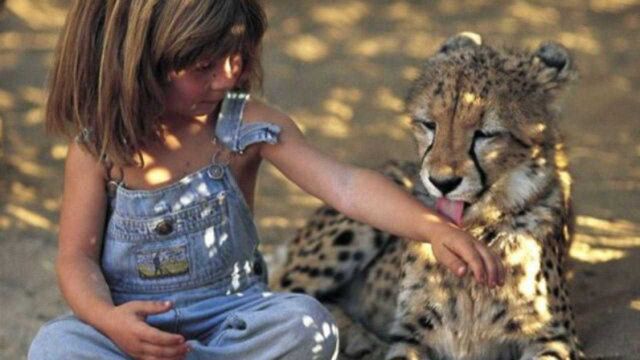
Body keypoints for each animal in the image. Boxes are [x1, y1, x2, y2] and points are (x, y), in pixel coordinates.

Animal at [272, 33, 584, 360]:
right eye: (429, 124)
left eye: (486, 133)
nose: (441, 182)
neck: (475, 232)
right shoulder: (412, 332)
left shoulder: (554, 337)